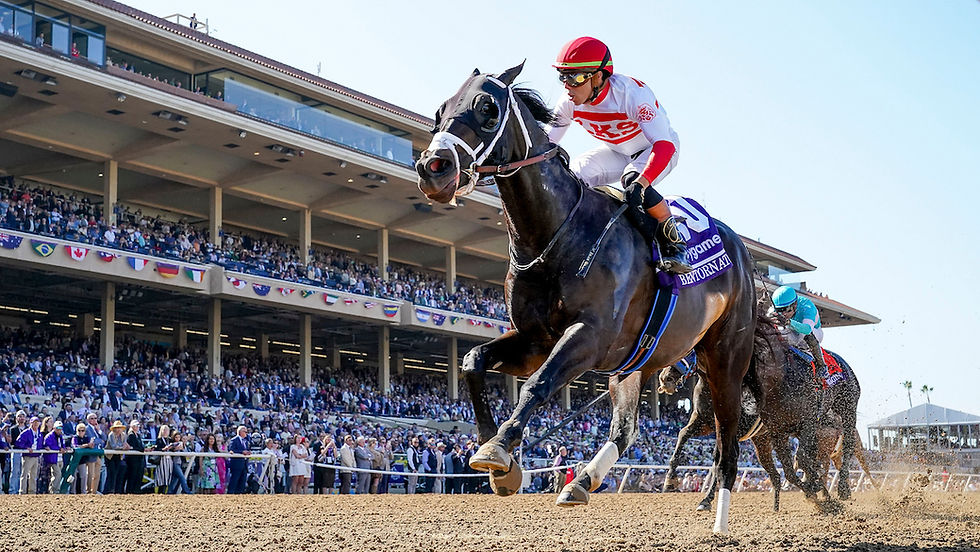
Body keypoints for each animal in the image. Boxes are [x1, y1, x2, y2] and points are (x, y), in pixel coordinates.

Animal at [415, 63, 757, 534]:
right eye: (440, 110)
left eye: (488, 108)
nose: (434, 168)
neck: (555, 235)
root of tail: (742, 253)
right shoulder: (535, 340)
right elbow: (473, 362)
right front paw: (496, 453)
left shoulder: (589, 337)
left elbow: (538, 384)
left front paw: (500, 448)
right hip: (635, 364)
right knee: (626, 430)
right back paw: (581, 482)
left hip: (724, 360)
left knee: (727, 434)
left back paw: (717, 513)